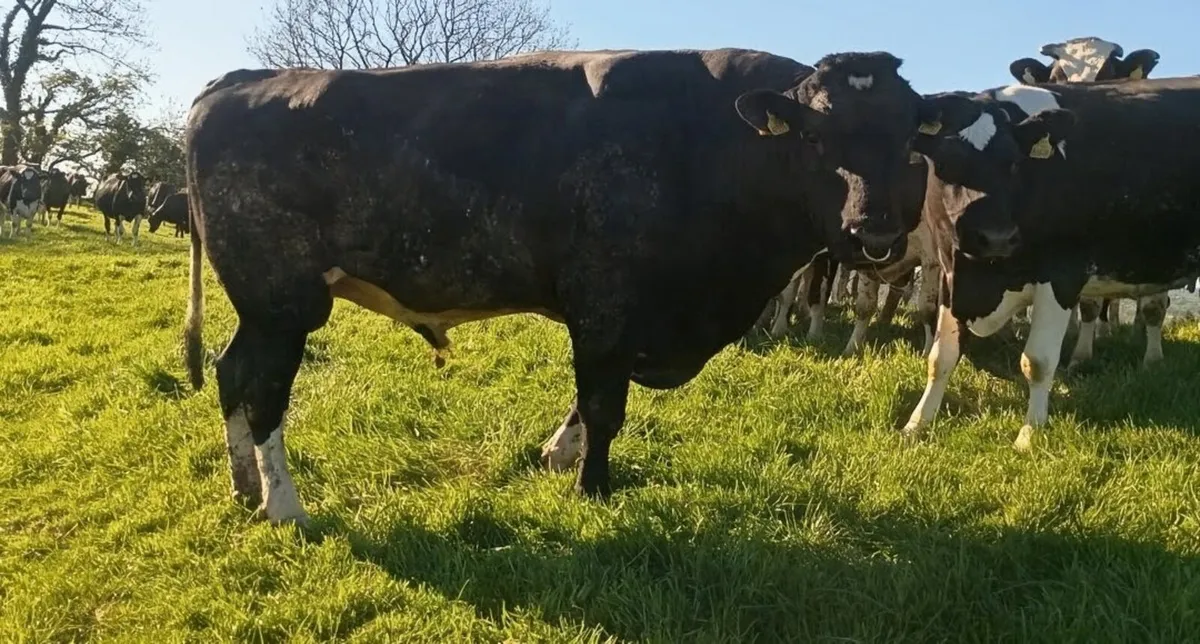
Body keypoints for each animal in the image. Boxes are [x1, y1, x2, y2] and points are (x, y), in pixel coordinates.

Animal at [182, 48, 934, 525]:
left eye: (908, 139)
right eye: (816, 136)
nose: (874, 229)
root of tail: (232, 82)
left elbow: (592, 398)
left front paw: (556, 455)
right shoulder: (606, 304)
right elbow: (604, 406)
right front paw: (592, 489)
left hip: (262, 308)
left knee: (229, 373)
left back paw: (244, 487)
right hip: (284, 303)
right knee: (264, 391)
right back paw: (285, 507)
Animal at [902, 76, 1200, 453]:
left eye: (1013, 163)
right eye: (947, 163)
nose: (996, 237)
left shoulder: (1062, 276)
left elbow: (1038, 363)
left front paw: (1029, 434)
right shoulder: (951, 275)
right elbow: (941, 356)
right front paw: (917, 423)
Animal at [1009, 36, 1167, 368]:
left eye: (1109, 76)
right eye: (1057, 78)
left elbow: (1153, 304)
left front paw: (1153, 360)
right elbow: (1089, 303)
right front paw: (1081, 355)